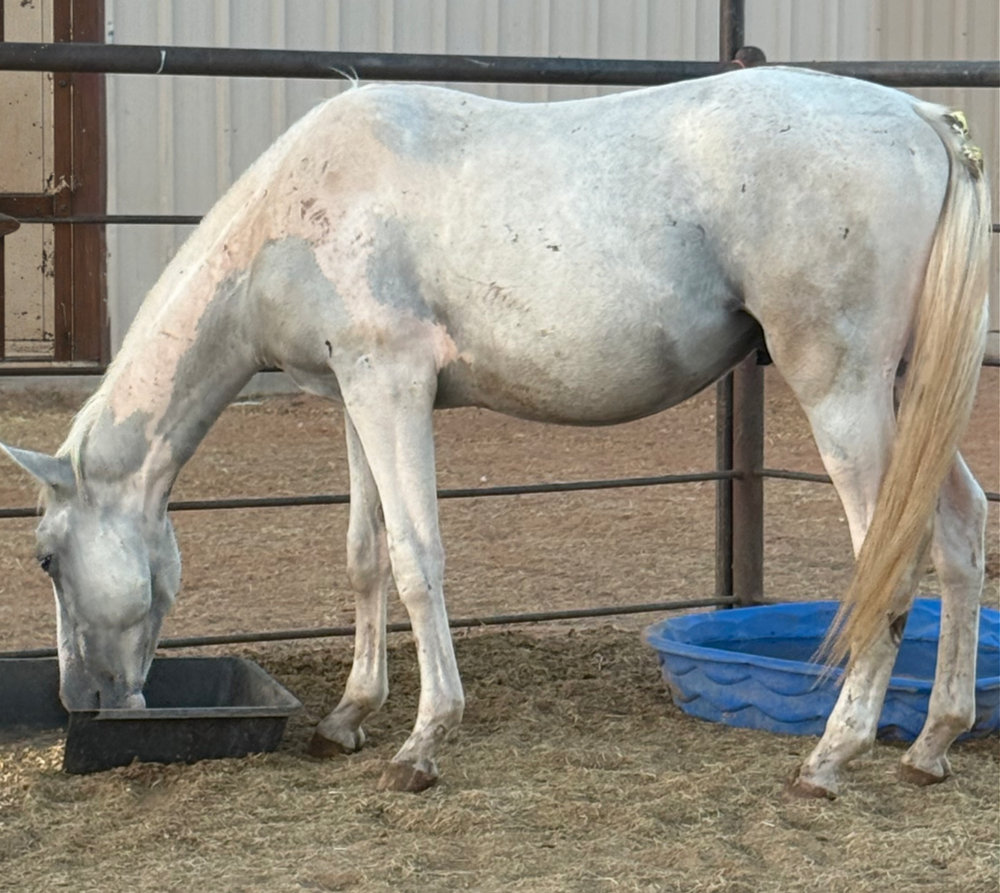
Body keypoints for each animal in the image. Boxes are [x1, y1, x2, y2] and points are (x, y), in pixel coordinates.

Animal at [1, 66, 990, 797]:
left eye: (46, 557)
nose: (82, 699)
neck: (299, 213)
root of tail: (921, 119)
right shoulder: (356, 395)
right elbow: (364, 554)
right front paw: (349, 716)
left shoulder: (393, 385)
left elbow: (416, 557)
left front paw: (422, 743)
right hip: (909, 400)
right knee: (960, 531)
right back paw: (932, 742)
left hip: (844, 393)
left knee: (888, 559)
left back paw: (831, 755)